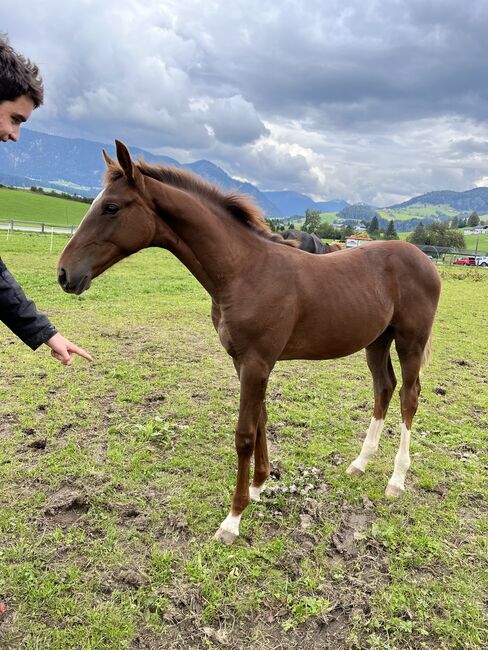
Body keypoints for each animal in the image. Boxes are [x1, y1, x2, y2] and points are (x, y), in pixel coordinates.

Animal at [58, 140, 442, 540]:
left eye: (111, 207)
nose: (65, 274)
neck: (244, 270)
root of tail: (424, 259)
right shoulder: (243, 361)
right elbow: (261, 421)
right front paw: (259, 486)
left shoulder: (257, 362)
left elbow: (244, 433)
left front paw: (233, 517)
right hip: (377, 341)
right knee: (384, 388)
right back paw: (360, 462)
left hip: (410, 341)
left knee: (409, 396)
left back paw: (396, 480)